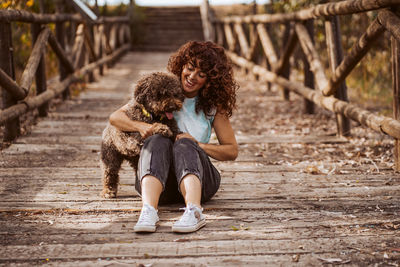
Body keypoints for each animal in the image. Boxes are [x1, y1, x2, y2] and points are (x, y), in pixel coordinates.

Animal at [99, 72, 183, 200]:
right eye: (160, 94)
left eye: (175, 93)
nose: (172, 106)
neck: (154, 116)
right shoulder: (136, 135)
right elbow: (153, 128)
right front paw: (161, 128)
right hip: (110, 156)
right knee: (109, 172)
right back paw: (108, 191)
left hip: (134, 159)